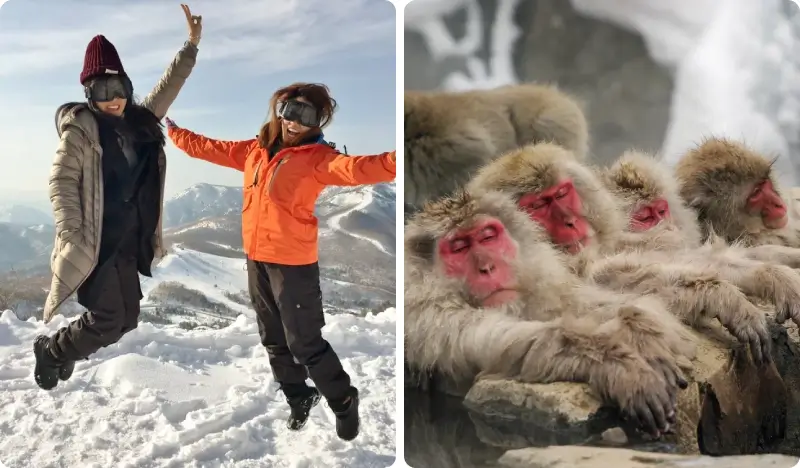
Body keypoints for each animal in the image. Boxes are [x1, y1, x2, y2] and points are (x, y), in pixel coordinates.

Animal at [405, 188, 695, 437]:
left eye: (487, 237)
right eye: (459, 248)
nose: (487, 267)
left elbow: (585, 303)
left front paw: (642, 333)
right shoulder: (433, 318)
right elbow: (505, 343)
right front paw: (619, 365)